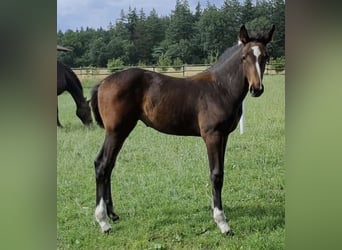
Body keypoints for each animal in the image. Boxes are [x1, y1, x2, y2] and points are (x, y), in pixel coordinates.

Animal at [89, 24, 274, 234]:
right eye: (244, 57)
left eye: (266, 56)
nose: (256, 89)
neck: (220, 88)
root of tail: (103, 82)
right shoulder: (212, 136)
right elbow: (216, 175)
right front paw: (222, 222)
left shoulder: (224, 136)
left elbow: (220, 172)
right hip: (116, 131)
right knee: (102, 165)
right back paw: (103, 221)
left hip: (121, 131)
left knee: (109, 165)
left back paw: (112, 214)